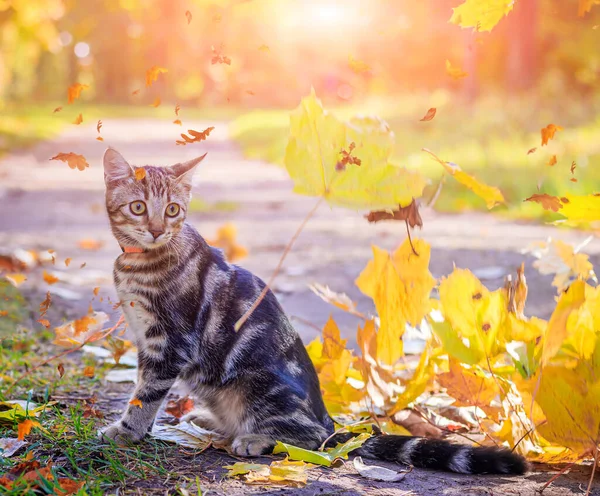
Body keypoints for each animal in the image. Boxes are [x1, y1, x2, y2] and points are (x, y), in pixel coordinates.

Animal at [101, 148, 528, 476]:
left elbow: (146, 394)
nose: (157, 229)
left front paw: (126, 430)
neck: (140, 263)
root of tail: (328, 419)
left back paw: (254, 437)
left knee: (308, 438)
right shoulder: (148, 342)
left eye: (173, 210)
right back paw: (210, 421)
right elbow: (142, 389)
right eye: (138, 207)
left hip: (257, 386)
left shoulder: (171, 343)